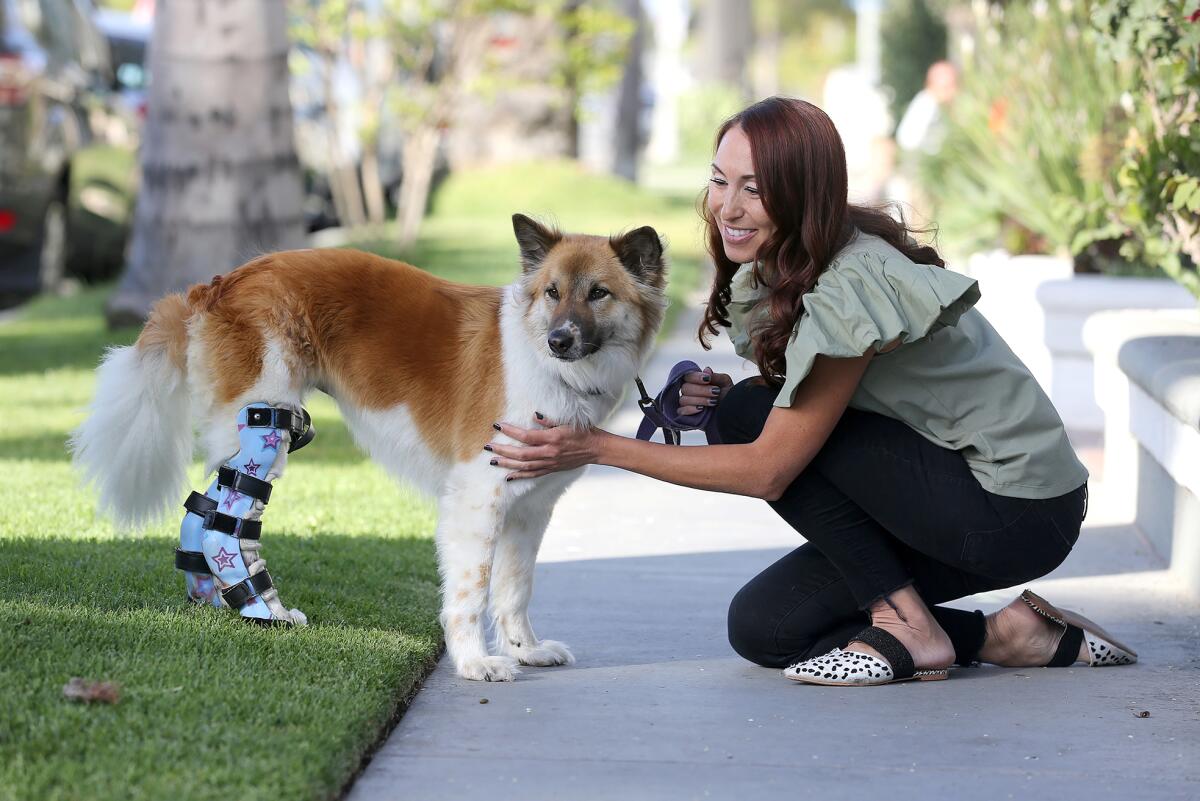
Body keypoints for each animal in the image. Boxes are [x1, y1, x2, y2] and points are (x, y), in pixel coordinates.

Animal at [71, 215, 672, 681]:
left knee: (208, 505)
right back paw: (262, 607)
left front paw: (525, 651)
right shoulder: (476, 497)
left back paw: (220, 595)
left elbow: (514, 589)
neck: (546, 366)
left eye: (598, 293)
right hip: (269, 413)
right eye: (552, 293)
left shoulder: (530, 508)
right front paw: (474, 663)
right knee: (231, 510)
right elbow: (471, 592)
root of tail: (221, 283)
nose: (558, 339)